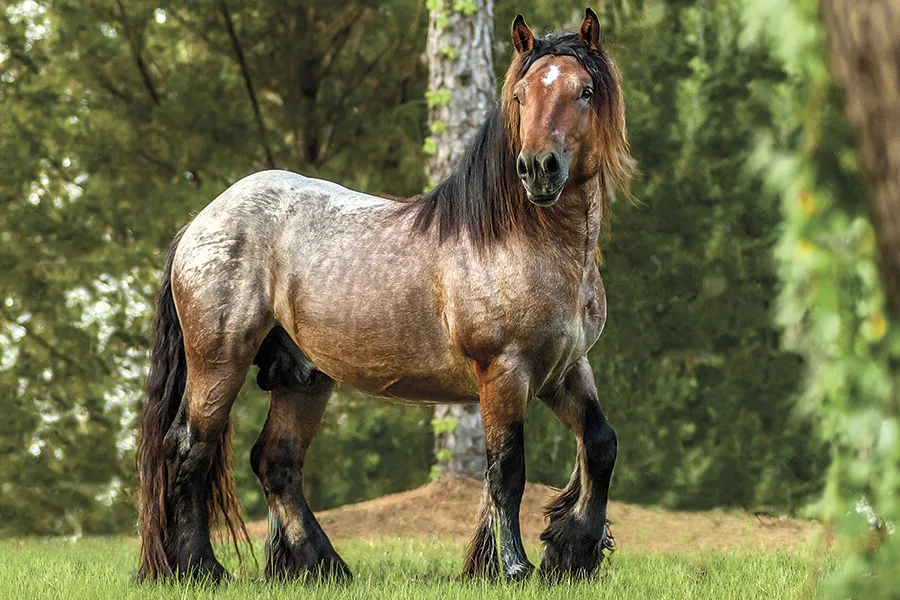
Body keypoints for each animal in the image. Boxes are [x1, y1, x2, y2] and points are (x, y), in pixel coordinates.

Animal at [136, 8, 632, 583]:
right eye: (520, 95)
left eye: (585, 91)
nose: (537, 169)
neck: (523, 242)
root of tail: (201, 222)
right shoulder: (504, 372)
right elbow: (507, 470)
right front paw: (512, 567)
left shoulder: (564, 368)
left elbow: (600, 444)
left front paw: (572, 551)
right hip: (218, 363)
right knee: (191, 449)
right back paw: (199, 567)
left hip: (302, 376)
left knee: (275, 461)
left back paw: (322, 566)